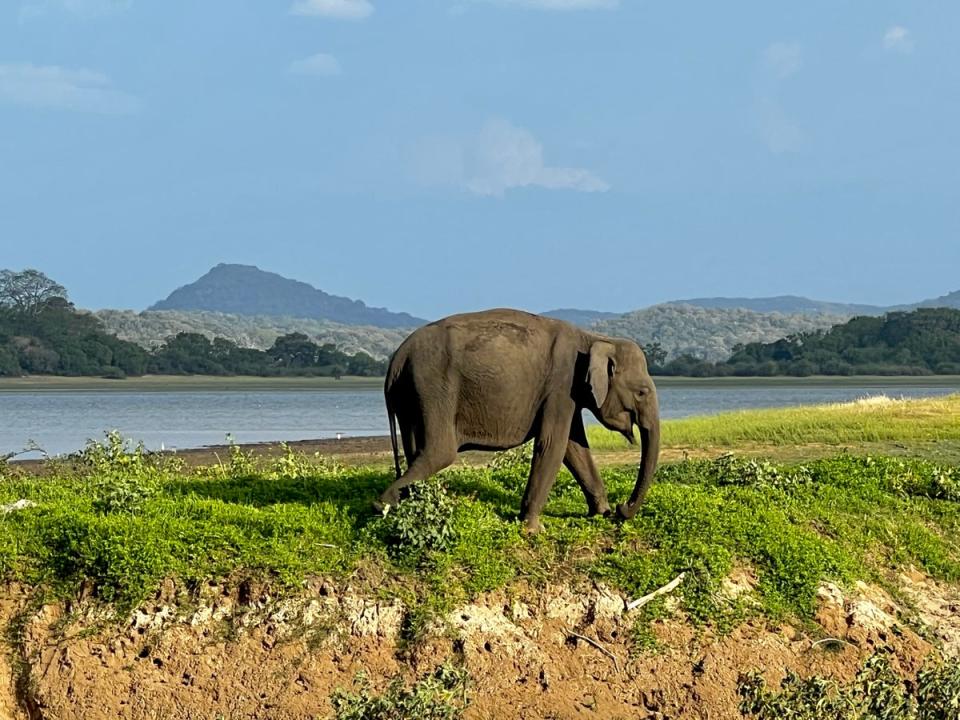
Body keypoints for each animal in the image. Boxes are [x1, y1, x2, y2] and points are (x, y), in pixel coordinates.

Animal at [376, 306, 660, 532]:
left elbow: (574, 447)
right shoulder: (561, 386)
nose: (622, 509)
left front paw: (600, 514)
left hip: (410, 398)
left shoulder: (569, 394)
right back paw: (383, 504)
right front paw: (533, 529)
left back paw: (410, 501)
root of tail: (396, 359)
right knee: (440, 452)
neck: (594, 339)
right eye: (642, 392)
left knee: (417, 450)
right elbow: (552, 445)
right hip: (434, 389)